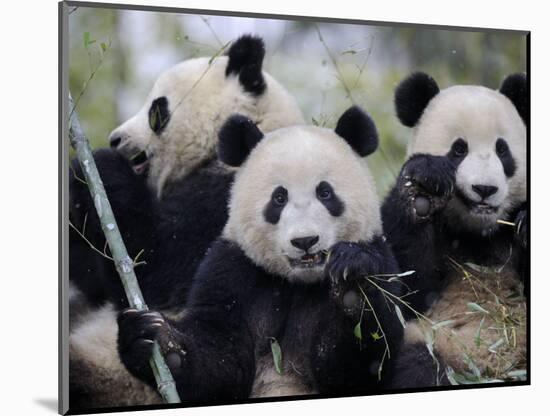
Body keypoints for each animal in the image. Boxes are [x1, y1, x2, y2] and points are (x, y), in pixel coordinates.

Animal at [69, 35, 306, 410]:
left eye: (157, 109)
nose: (115, 140)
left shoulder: (232, 201)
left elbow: (157, 270)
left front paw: (99, 166)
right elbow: (94, 277)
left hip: (117, 379)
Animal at [116, 106, 408, 404]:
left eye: (325, 193)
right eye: (279, 198)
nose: (305, 241)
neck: (297, 282)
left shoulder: (381, 255)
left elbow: (357, 368)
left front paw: (353, 285)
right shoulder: (232, 268)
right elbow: (220, 360)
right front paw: (154, 339)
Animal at [384, 73, 532, 388]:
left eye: (502, 150)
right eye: (459, 149)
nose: (484, 189)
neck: (477, 233)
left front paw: (526, 224)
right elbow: (405, 291)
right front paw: (424, 188)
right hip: (434, 343)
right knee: (417, 364)